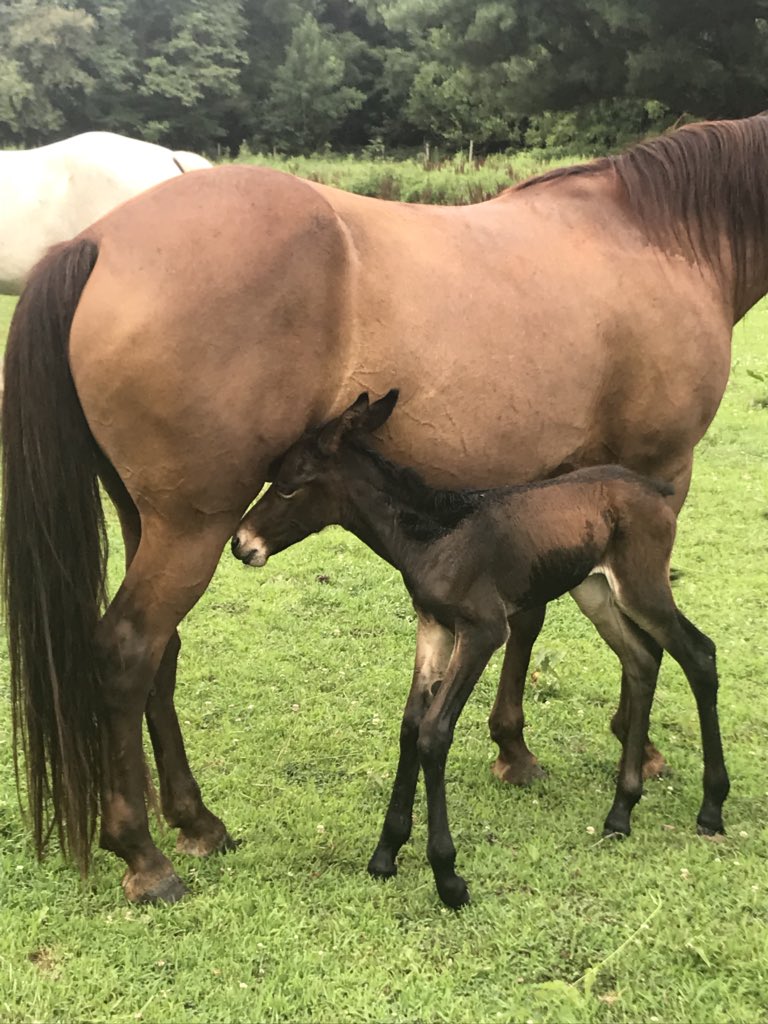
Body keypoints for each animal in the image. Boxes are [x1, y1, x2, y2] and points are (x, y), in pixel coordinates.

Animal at [232, 390, 729, 908]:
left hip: (642, 586)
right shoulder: (434, 627)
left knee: (699, 653)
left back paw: (711, 809)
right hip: (596, 591)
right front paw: (386, 853)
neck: (436, 535)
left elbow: (434, 732)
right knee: (642, 658)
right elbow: (411, 725)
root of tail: (653, 489)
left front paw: (447, 876)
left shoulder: (484, 632)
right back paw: (621, 812)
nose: (241, 543)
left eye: (290, 485)